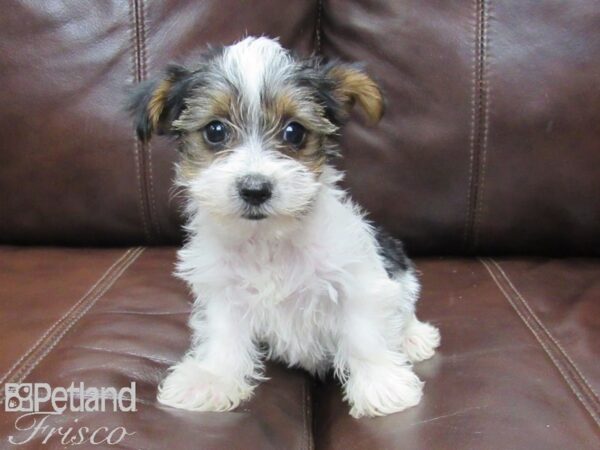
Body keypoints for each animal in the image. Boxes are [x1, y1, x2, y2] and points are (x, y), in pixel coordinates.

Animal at [129, 36, 438, 418]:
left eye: (294, 132)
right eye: (215, 131)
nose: (255, 188)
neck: (268, 239)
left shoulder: (357, 278)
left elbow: (365, 334)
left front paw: (382, 386)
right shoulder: (223, 291)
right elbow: (223, 335)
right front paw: (212, 379)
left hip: (395, 263)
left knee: (404, 307)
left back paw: (413, 337)